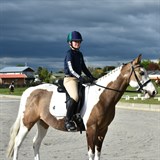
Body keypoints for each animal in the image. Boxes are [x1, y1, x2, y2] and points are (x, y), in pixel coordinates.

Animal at [6, 55, 156, 160]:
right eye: (142, 73)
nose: (153, 92)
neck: (102, 96)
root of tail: (30, 90)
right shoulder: (91, 129)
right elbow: (91, 153)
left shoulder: (103, 130)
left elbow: (98, 153)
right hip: (27, 122)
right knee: (18, 143)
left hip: (42, 123)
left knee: (36, 143)